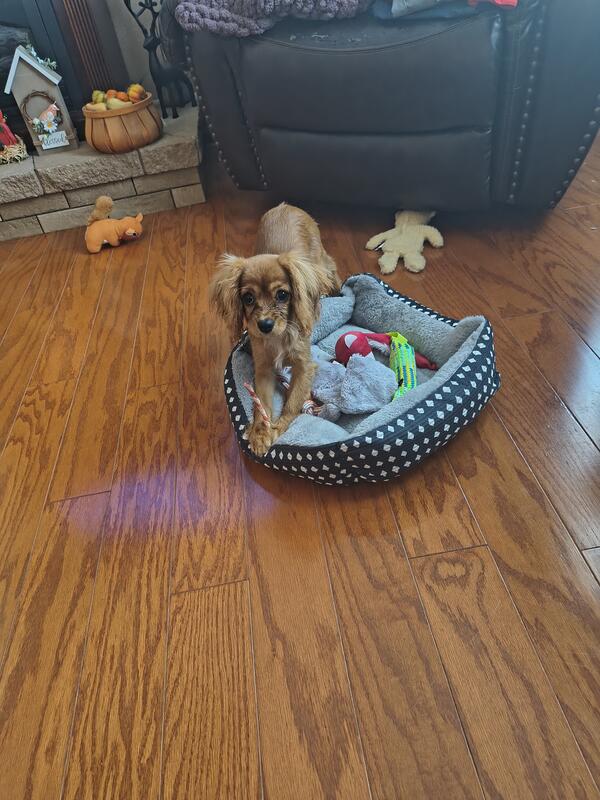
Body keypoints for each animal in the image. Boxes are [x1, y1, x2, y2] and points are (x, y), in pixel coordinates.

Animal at [210, 202, 340, 456]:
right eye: (248, 298)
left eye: (282, 295)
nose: (264, 325)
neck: (278, 338)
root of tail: (285, 206)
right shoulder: (263, 370)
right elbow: (261, 404)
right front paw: (260, 433)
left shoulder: (304, 367)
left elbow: (293, 402)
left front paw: (279, 427)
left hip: (320, 259)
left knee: (332, 268)